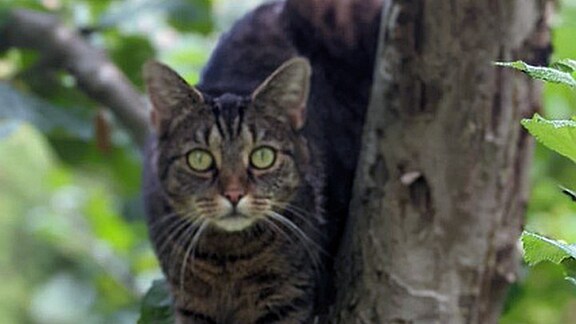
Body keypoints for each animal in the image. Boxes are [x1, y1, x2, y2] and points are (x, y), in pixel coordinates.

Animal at [143, 0, 382, 322]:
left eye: (262, 156)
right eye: (199, 159)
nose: (233, 194)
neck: (228, 257)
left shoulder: (288, 298)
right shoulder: (190, 303)